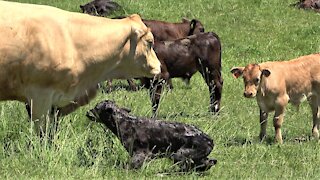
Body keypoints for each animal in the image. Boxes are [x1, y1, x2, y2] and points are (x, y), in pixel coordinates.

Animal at [86, 100, 218, 172]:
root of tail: (210, 140)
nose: (87, 112)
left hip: (179, 154)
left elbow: (131, 165)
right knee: (208, 162)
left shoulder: (141, 153)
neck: (122, 121)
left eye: (96, 108)